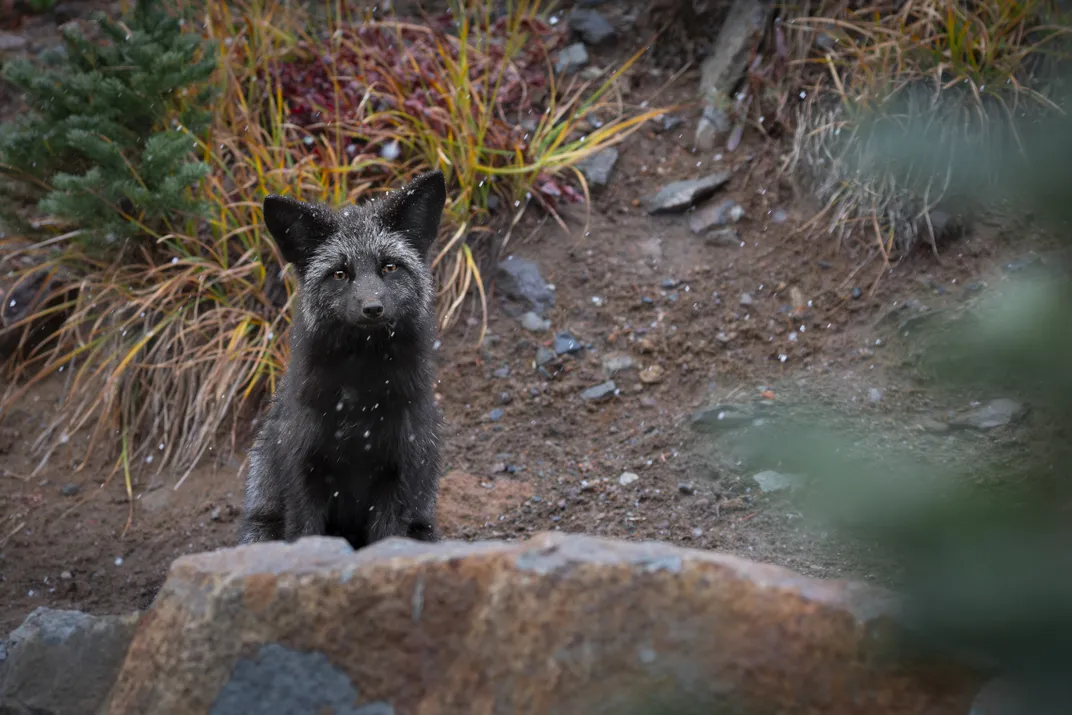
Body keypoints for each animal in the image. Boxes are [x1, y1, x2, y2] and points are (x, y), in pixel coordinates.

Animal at [237, 170, 447, 550]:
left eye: (389, 267)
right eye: (339, 273)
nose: (372, 308)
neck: (359, 404)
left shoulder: (398, 474)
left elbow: (386, 540)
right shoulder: (304, 470)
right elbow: (305, 535)